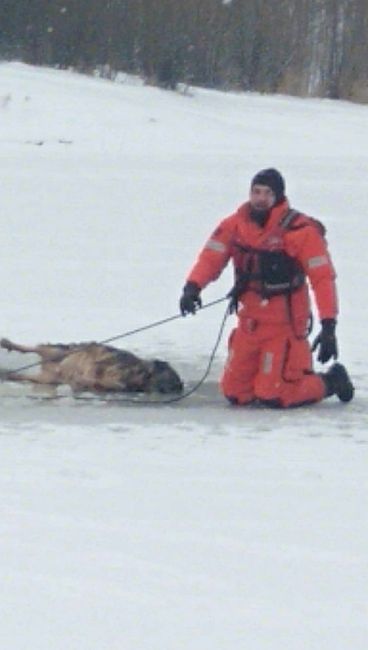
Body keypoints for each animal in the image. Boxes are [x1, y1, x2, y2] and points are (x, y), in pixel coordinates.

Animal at [0, 340, 184, 394]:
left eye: (172, 383)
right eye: (169, 376)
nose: (177, 387)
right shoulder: (109, 361)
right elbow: (98, 366)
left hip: (47, 378)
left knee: (25, 375)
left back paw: (8, 375)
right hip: (60, 351)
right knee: (34, 347)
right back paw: (7, 343)